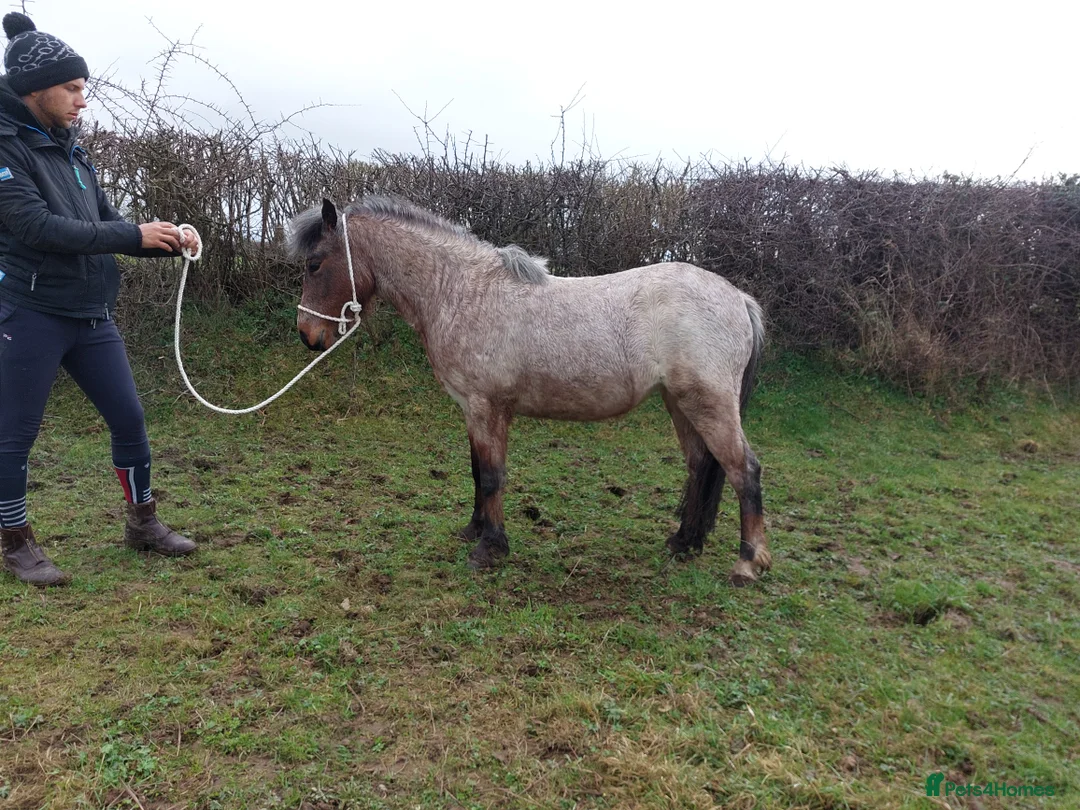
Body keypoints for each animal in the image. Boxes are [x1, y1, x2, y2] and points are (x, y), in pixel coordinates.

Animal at [288, 196, 771, 586]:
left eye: (315, 264)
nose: (307, 335)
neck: (459, 290)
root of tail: (738, 299)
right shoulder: (471, 409)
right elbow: (477, 472)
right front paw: (474, 531)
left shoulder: (487, 406)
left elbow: (492, 476)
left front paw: (490, 549)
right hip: (680, 404)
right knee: (701, 465)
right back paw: (684, 542)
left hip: (708, 404)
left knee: (743, 470)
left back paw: (747, 564)